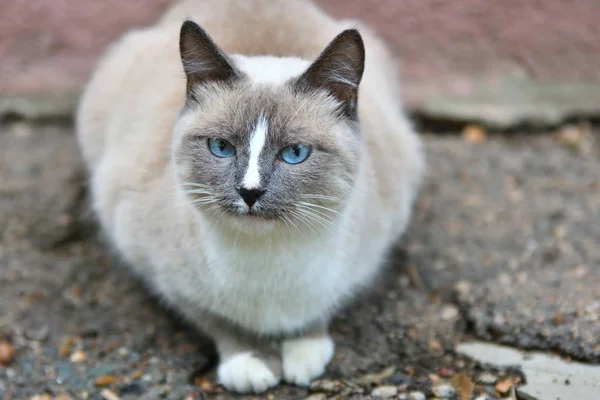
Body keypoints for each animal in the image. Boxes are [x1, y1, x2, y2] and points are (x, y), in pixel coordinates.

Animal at [76, 0, 422, 394]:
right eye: (221, 147)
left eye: (295, 153)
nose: (250, 192)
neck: (266, 261)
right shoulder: (166, 278)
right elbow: (220, 323)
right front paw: (249, 366)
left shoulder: (360, 266)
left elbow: (318, 311)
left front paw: (303, 356)